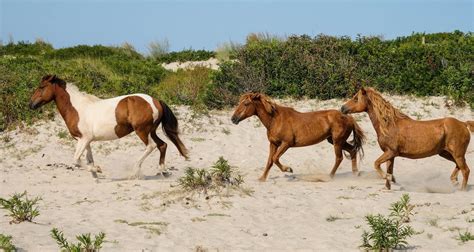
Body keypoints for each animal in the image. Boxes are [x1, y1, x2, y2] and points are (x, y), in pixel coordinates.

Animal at [28, 75, 189, 179]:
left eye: (42, 87)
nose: (30, 105)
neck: (77, 109)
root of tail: (155, 100)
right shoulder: (86, 141)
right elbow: (89, 159)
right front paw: (95, 173)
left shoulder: (84, 139)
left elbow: (76, 160)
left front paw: (97, 170)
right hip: (151, 130)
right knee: (163, 145)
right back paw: (164, 171)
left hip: (142, 131)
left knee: (151, 146)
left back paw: (135, 171)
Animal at [231, 92, 364, 181]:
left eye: (246, 103)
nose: (233, 119)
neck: (275, 120)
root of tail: (349, 117)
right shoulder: (273, 144)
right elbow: (269, 161)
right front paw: (262, 179)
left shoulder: (286, 144)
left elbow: (275, 158)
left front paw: (289, 169)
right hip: (334, 140)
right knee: (352, 150)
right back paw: (355, 173)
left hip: (337, 142)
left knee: (339, 158)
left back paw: (330, 176)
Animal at [342, 87, 472, 190]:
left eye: (355, 98)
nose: (342, 108)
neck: (389, 125)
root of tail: (463, 123)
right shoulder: (390, 155)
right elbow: (389, 169)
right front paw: (388, 185)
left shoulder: (391, 152)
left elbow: (377, 164)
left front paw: (389, 178)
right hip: (445, 153)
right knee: (459, 166)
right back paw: (454, 181)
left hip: (457, 154)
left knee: (466, 170)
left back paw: (461, 190)